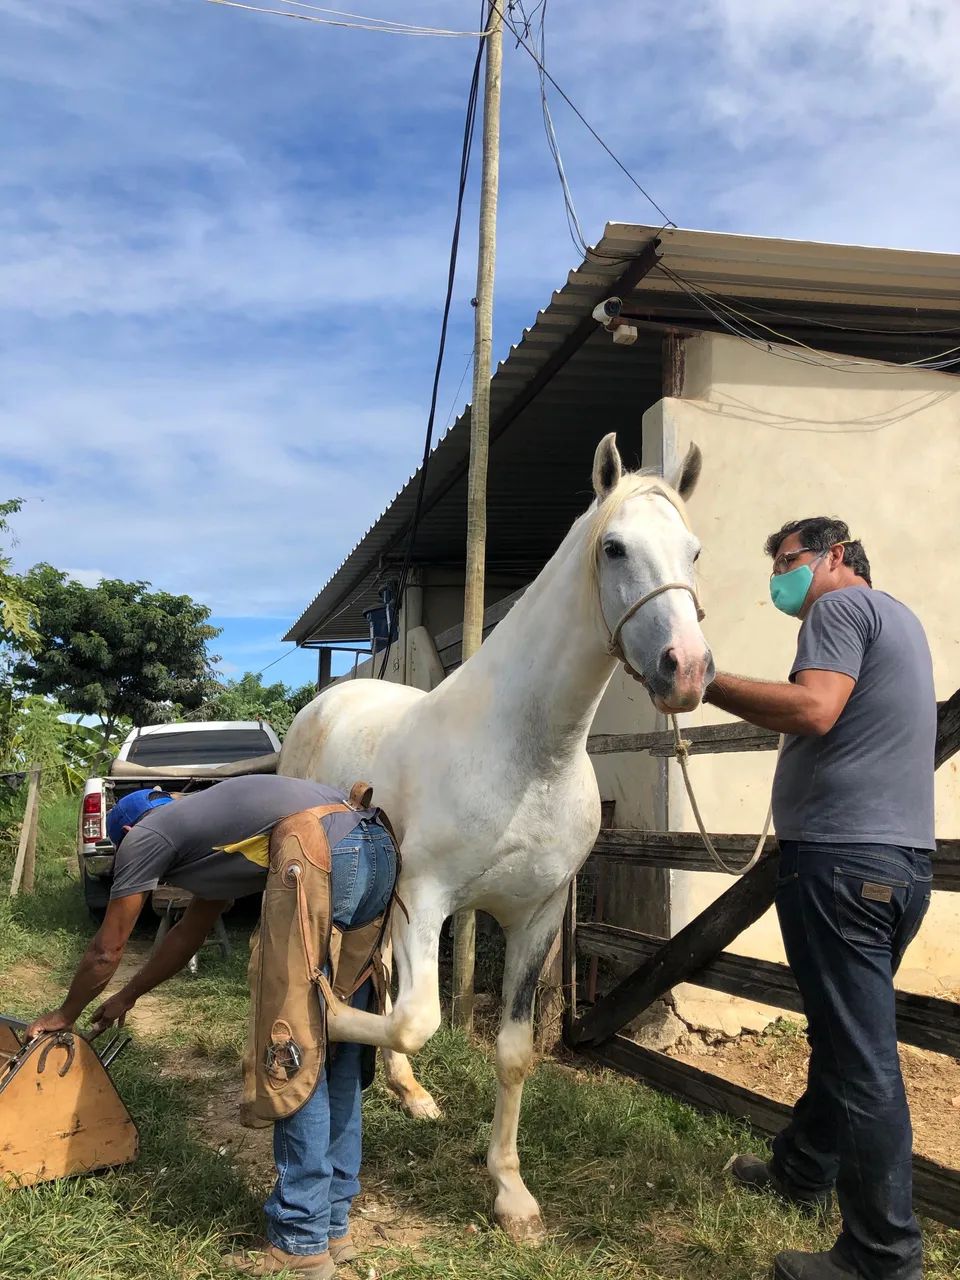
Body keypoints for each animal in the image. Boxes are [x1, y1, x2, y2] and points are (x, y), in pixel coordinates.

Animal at [278, 432, 714, 1240]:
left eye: (694, 551)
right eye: (614, 547)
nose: (688, 670)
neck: (527, 753)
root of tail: (326, 702)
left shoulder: (534, 916)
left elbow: (509, 1052)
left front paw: (511, 1193)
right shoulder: (426, 900)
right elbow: (416, 1019)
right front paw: (332, 1025)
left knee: (381, 972)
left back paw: (409, 1090)